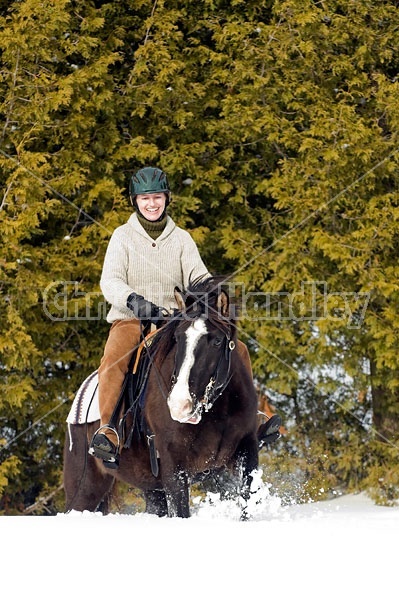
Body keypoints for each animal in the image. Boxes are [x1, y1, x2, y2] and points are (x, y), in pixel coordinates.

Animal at [63, 278, 266, 516]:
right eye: (178, 338)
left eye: (217, 341)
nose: (180, 405)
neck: (218, 410)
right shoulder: (174, 468)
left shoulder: (247, 450)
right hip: (85, 488)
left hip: (151, 488)